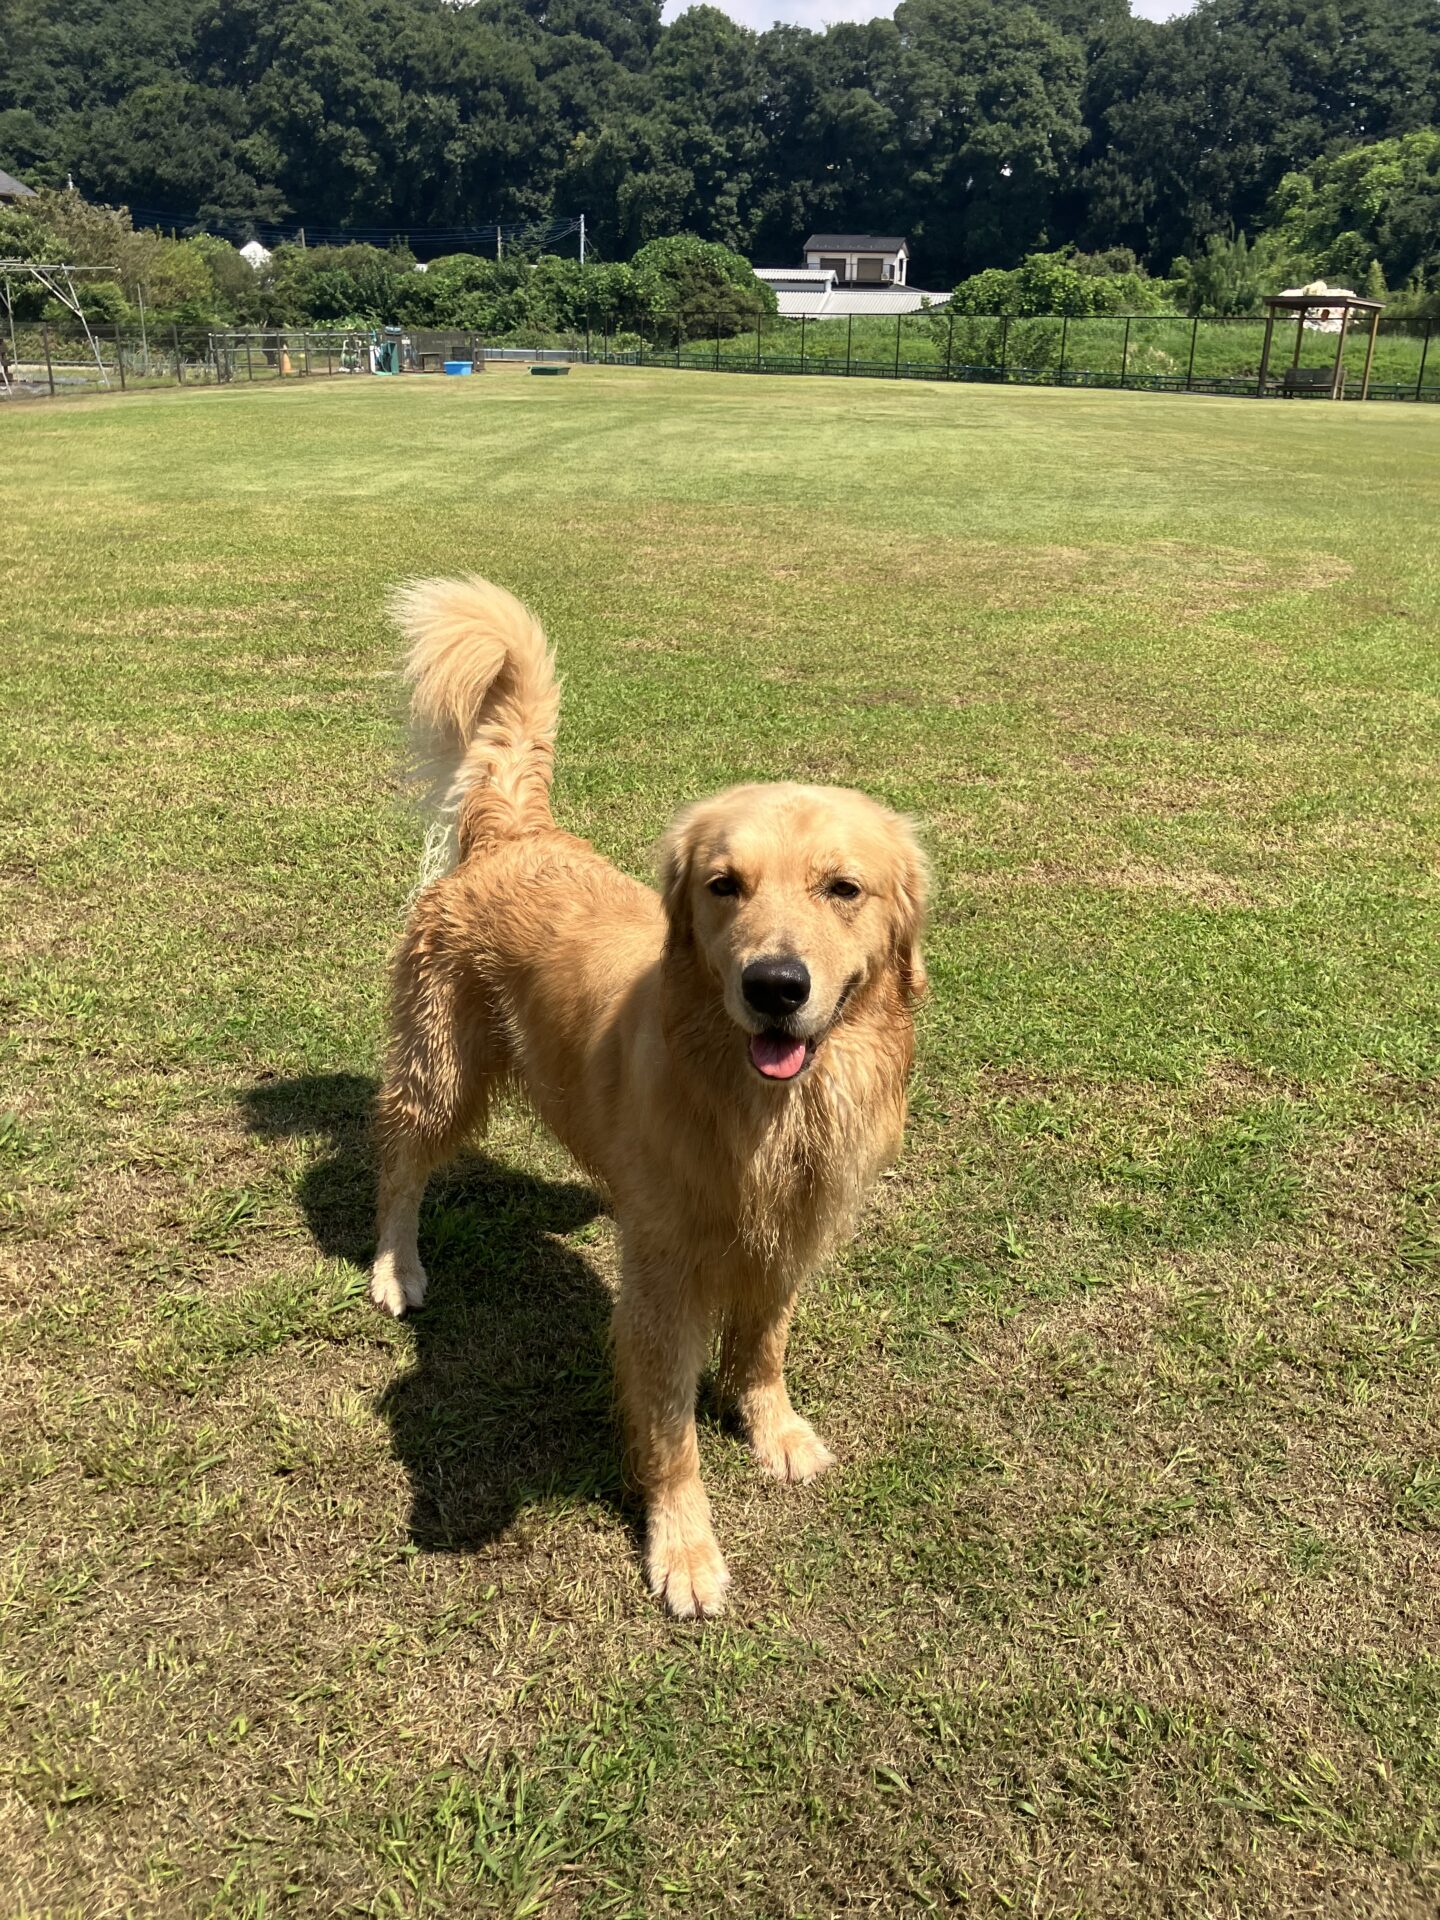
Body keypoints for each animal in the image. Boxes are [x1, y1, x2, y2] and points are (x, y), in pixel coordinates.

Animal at [371, 578, 926, 1616]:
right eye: (724, 885)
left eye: (843, 888)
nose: (775, 986)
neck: (764, 1114)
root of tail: (519, 831)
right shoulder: (662, 1278)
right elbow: (671, 1429)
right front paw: (686, 1550)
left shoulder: (789, 1232)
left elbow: (764, 1345)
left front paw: (774, 1429)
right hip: (440, 1069)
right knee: (398, 1166)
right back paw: (396, 1269)